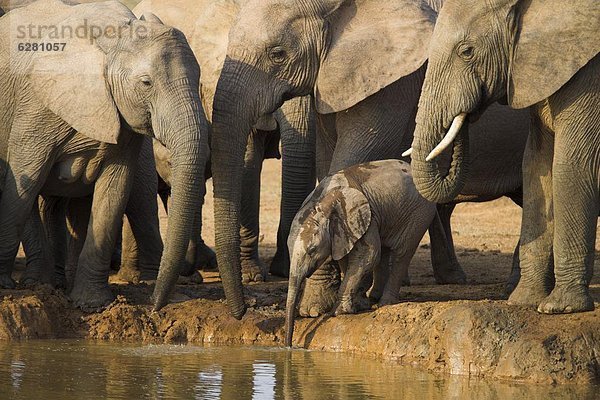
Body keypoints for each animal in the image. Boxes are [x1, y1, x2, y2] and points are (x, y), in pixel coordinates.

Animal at [0, 0, 209, 310]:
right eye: (146, 83)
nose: (155, 305)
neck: (114, 38)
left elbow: (114, 190)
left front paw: (91, 303)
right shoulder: (36, 108)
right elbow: (25, 184)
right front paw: (6, 286)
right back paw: (39, 284)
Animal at [209, 0, 528, 318]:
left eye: (277, 54)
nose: (245, 310)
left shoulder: (392, 82)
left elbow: (352, 157)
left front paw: (317, 308)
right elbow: (326, 162)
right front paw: (325, 304)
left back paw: (511, 290)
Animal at [286, 159, 436, 346]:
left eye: (312, 250)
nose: (289, 345)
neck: (322, 202)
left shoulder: (362, 216)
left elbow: (368, 255)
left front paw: (338, 312)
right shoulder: (346, 229)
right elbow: (347, 258)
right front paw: (359, 305)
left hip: (419, 213)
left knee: (402, 253)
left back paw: (385, 303)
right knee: (385, 251)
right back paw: (374, 299)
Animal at [408, 0, 600, 314]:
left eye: (466, 51)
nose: (466, 114)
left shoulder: (590, 77)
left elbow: (571, 165)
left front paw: (559, 307)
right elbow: (536, 165)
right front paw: (524, 300)